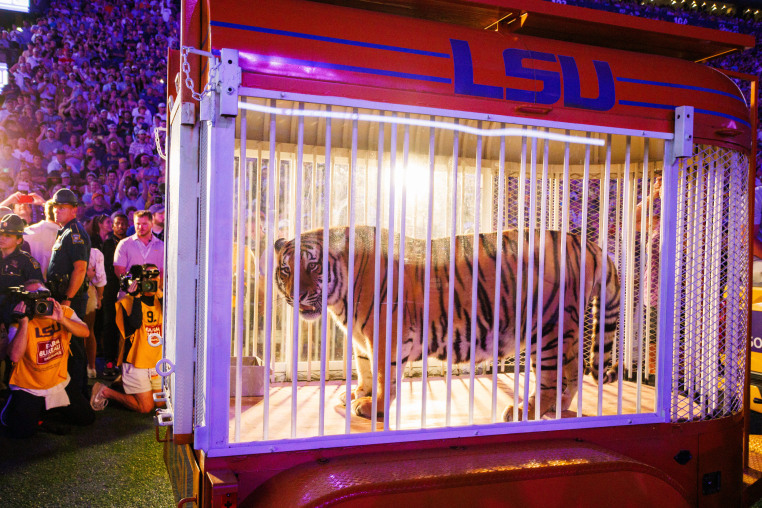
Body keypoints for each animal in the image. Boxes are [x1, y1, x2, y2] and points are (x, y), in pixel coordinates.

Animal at [274, 226, 616, 420]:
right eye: (286, 270)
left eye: (313, 266)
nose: (297, 295)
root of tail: (587, 243)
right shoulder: (360, 337)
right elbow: (364, 366)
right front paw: (358, 394)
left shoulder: (384, 333)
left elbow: (384, 375)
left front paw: (374, 407)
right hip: (563, 331)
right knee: (572, 373)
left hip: (546, 329)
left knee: (554, 378)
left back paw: (524, 411)